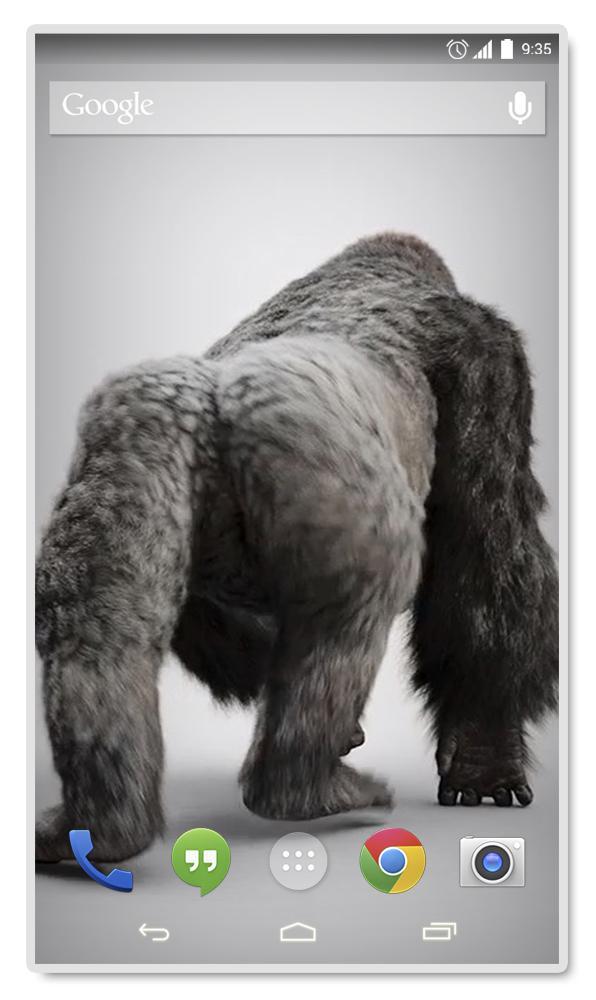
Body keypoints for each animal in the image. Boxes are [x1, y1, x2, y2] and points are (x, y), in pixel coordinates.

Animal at [35, 233, 558, 863]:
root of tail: (211, 408)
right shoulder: (490, 360)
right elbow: (487, 570)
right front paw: (486, 758)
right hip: (314, 463)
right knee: (346, 624)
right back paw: (307, 790)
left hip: (131, 451)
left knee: (97, 639)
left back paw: (97, 832)